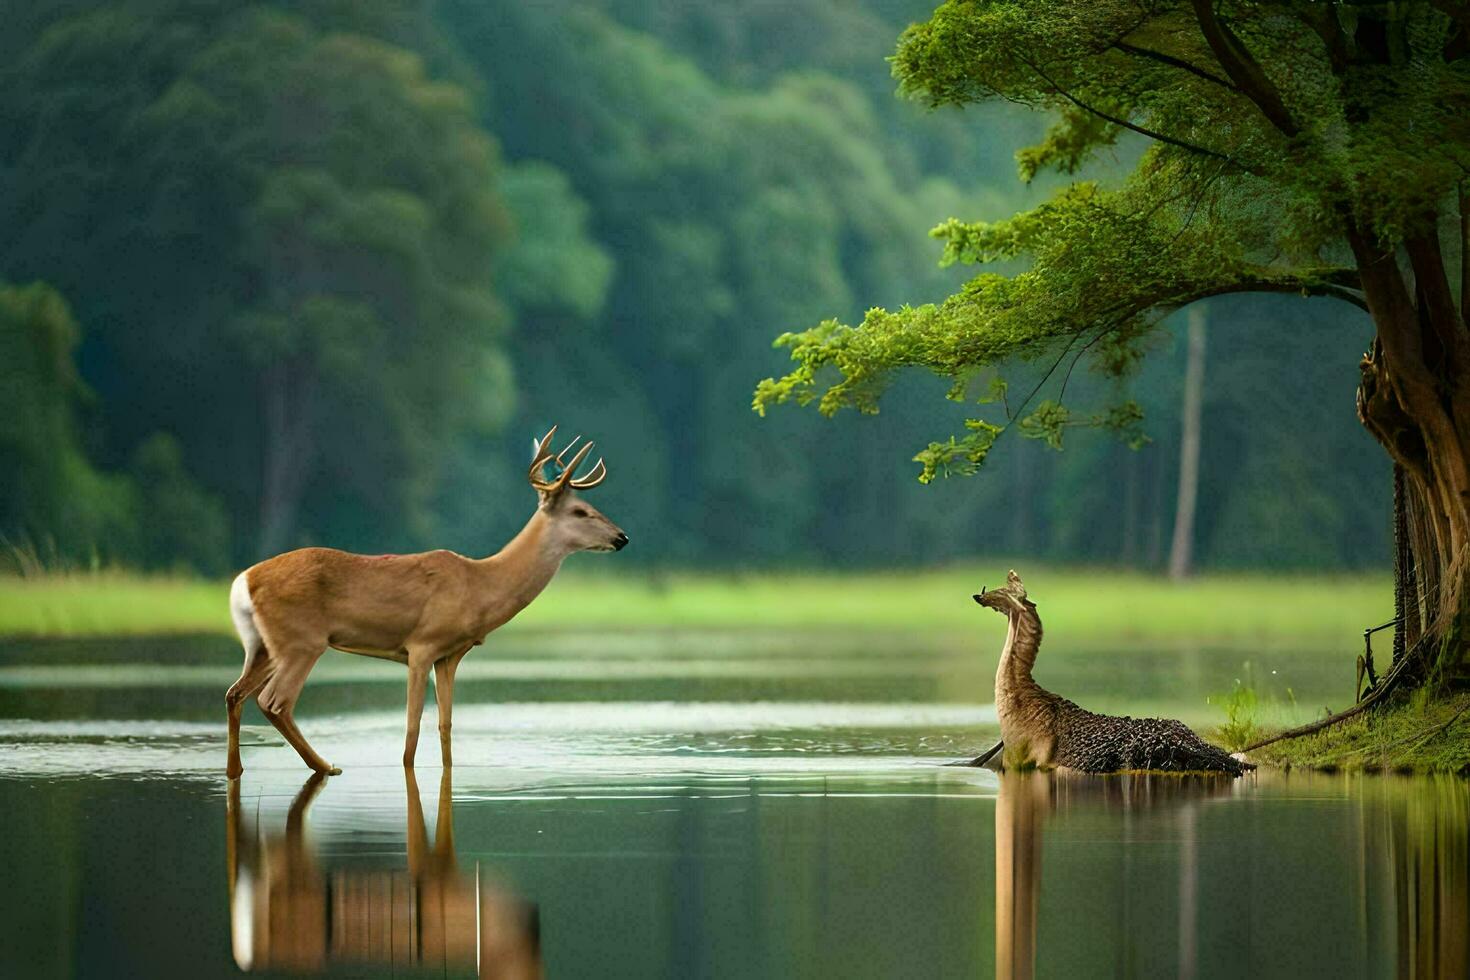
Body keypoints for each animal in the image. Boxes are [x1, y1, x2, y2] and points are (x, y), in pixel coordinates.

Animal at [223, 426, 626, 775]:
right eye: (580, 511)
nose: (622, 537)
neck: (481, 584)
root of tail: (244, 581)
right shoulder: (421, 645)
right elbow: (412, 727)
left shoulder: (449, 655)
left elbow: (445, 724)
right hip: (302, 642)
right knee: (274, 702)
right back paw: (326, 766)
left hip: (263, 646)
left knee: (234, 693)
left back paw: (236, 770)